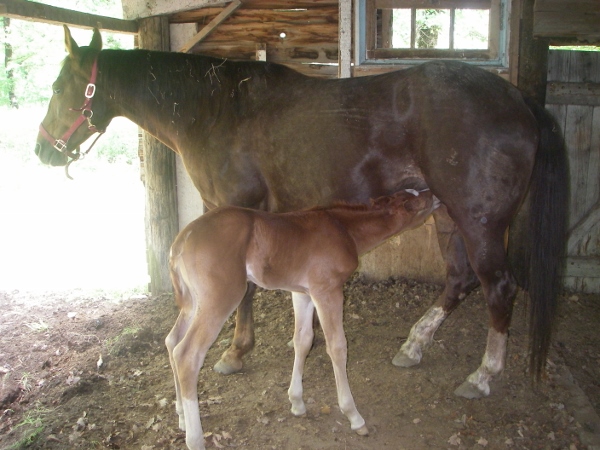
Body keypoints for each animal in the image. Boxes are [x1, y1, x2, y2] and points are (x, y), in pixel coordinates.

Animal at [35, 27, 568, 400]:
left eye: (61, 84)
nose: (42, 150)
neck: (214, 108)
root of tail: (517, 98)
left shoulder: (236, 209)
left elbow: (246, 290)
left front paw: (235, 352)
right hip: (449, 216)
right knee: (459, 280)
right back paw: (413, 346)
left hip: (479, 223)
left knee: (498, 288)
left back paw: (482, 375)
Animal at [166, 188, 438, 448]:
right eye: (413, 202)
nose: (434, 195)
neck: (343, 229)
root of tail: (181, 240)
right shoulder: (327, 290)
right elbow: (337, 346)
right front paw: (354, 416)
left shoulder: (302, 293)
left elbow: (303, 340)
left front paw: (297, 402)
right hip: (221, 298)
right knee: (187, 354)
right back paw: (195, 439)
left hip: (192, 302)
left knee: (172, 340)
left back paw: (181, 417)